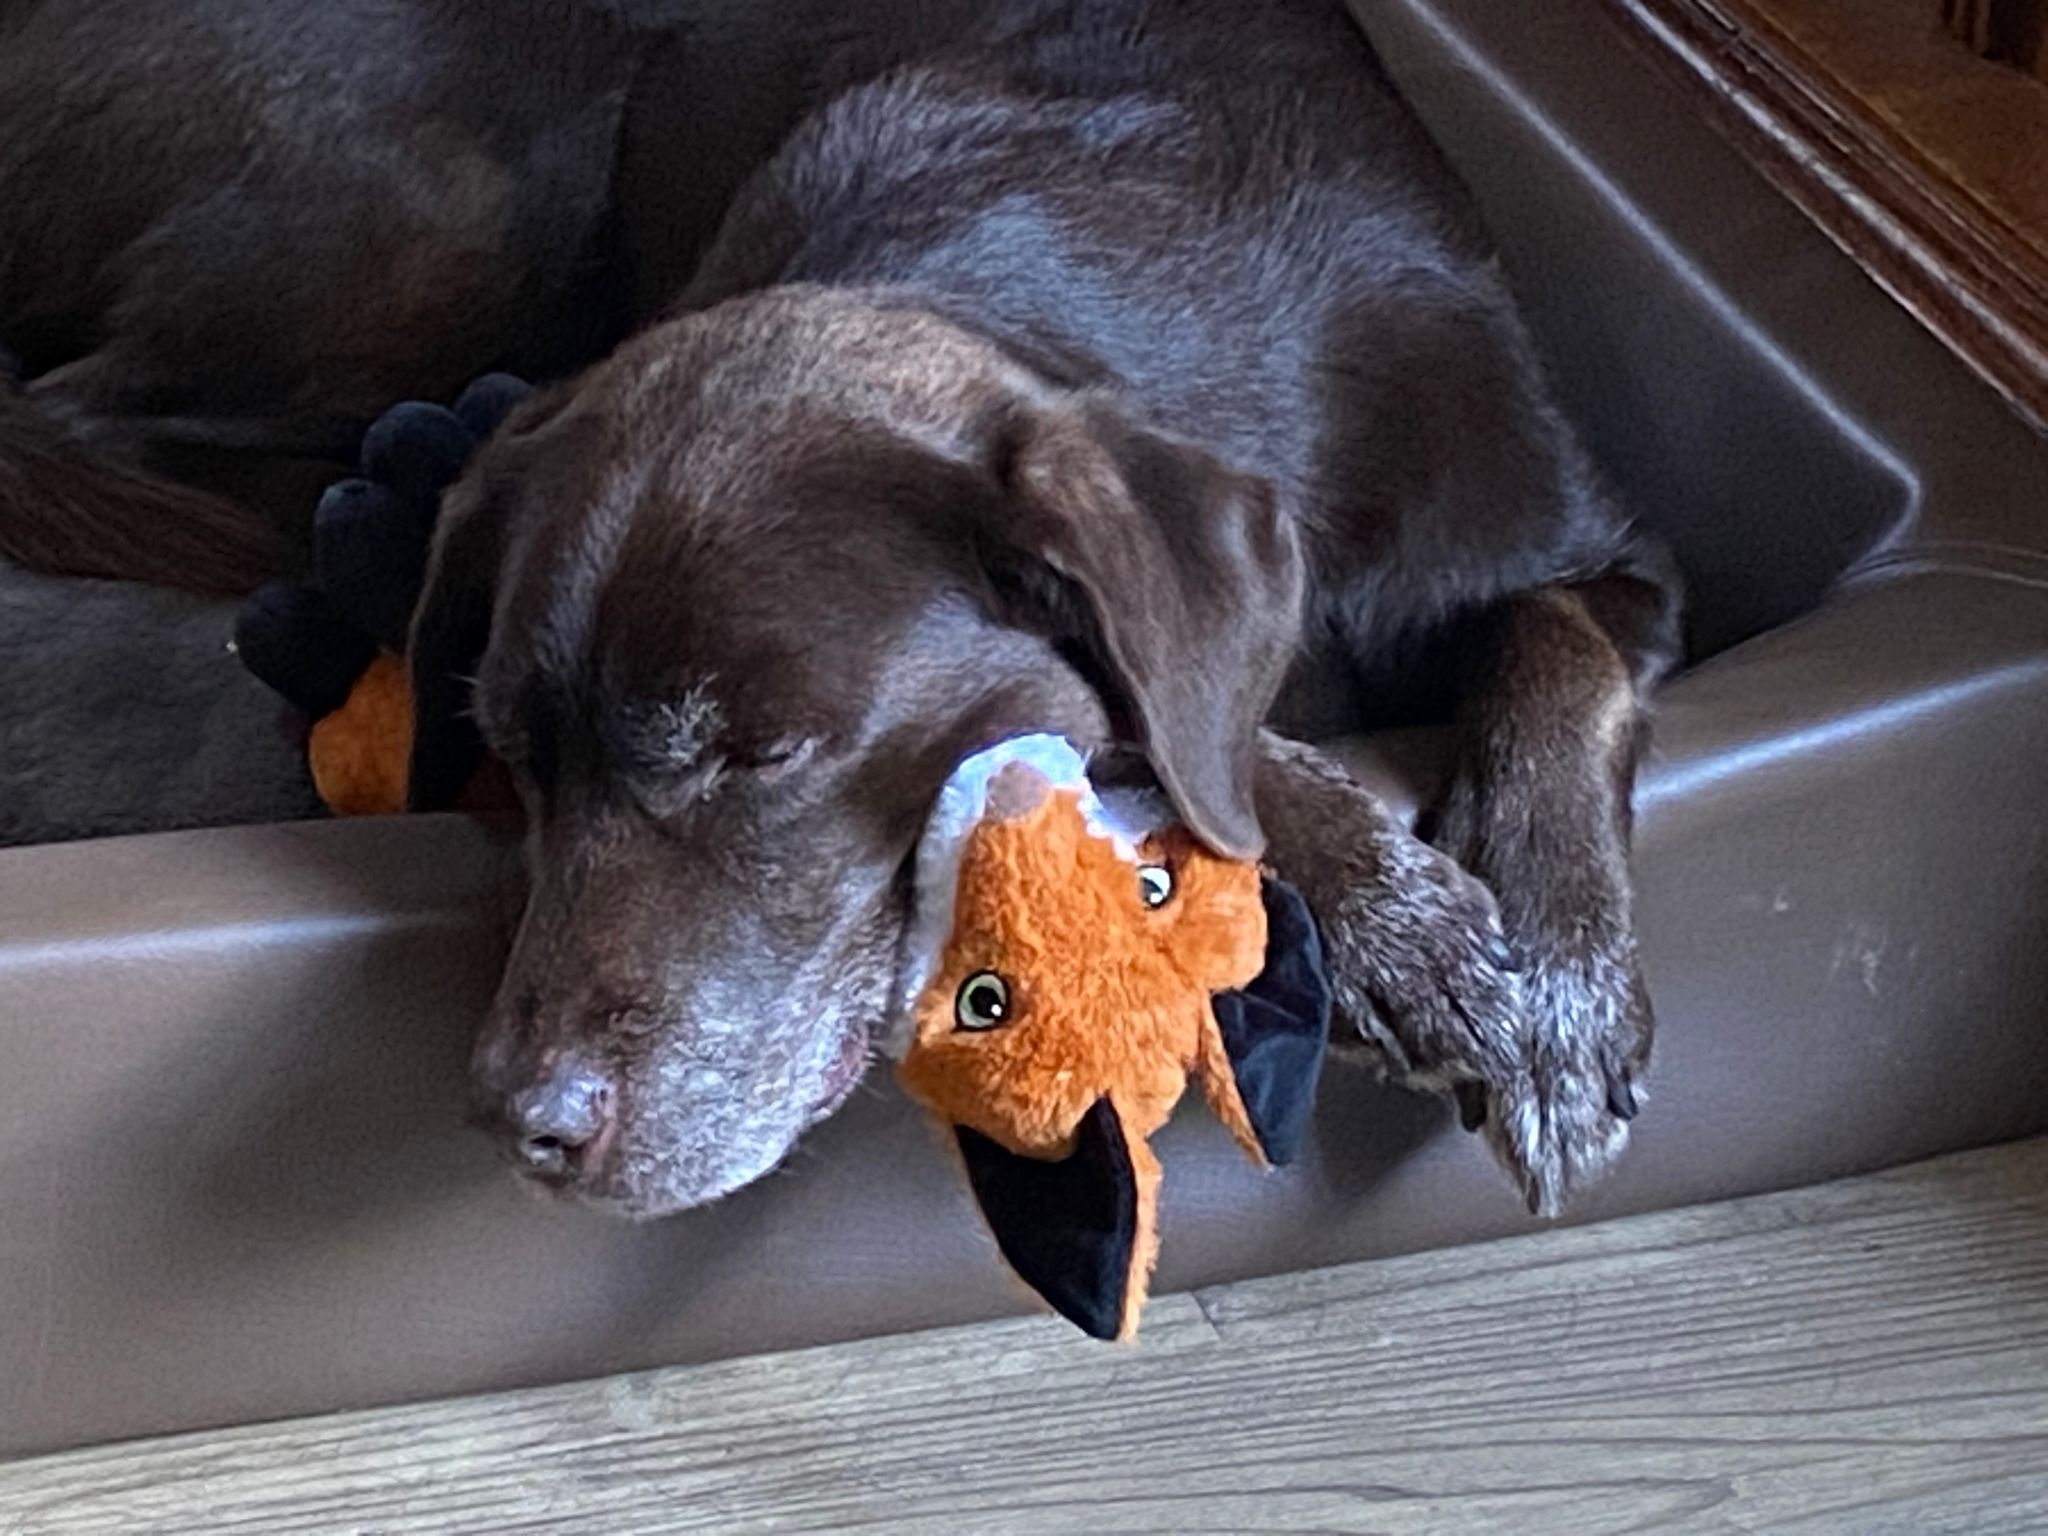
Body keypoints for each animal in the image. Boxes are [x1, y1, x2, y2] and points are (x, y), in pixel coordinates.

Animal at [0, 0, 1680, 1218]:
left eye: (762, 755)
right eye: (521, 755)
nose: (518, 1123)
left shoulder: (1604, 546)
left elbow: (1557, 648)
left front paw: (1549, 977)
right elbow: (1186, 724)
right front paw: (1396, 910)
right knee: (92, 426)